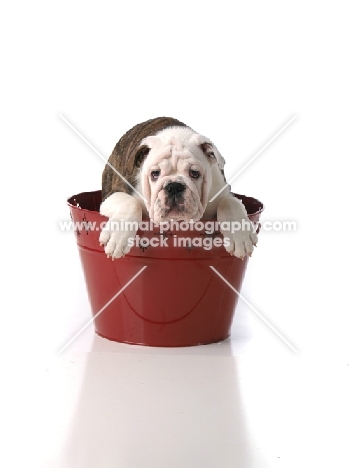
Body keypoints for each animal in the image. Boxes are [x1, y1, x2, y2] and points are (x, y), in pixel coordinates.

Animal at [98, 115, 258, 258]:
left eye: (195, 173)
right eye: (155, 174)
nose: (174, 186)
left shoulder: (222, 191)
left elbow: (230, 202)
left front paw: (240, 235)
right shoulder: (113, 195)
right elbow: (131, 203)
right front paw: (118, 236)